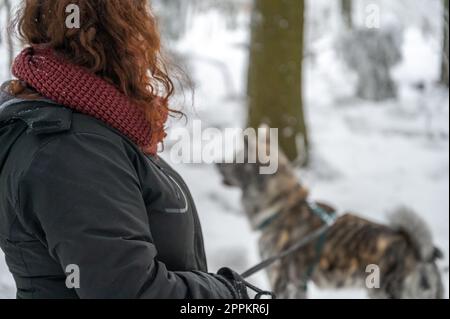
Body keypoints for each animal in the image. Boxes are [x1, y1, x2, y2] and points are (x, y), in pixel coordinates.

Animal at [216, 137, 444, 300]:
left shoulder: (282, 281)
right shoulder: (298, 285)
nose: (217, 163)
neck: (284, 207)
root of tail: (421, 253)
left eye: (236, 158)